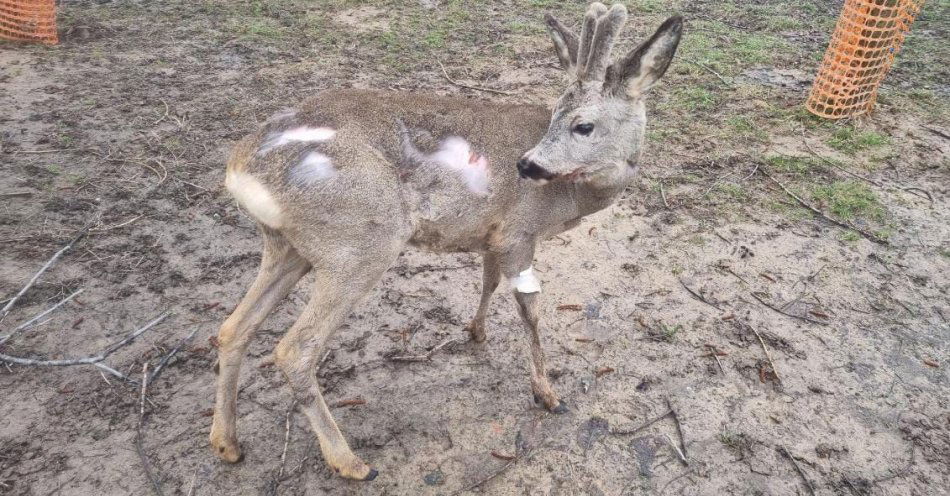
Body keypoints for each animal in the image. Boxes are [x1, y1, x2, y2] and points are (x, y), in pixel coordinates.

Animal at [212, 1, 680, 478]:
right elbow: (529, 309)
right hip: (361, 241)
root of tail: (240, 170)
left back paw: (227, 443)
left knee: (233, 328)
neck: (571, 195)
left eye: (582, 126)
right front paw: (547, 394)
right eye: (556, 117)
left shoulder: (494, 233)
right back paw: (350, 462)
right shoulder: (520, 230)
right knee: (294, 348)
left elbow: (489, 281)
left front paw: (476, 331)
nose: (526, 165)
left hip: (289, 247)